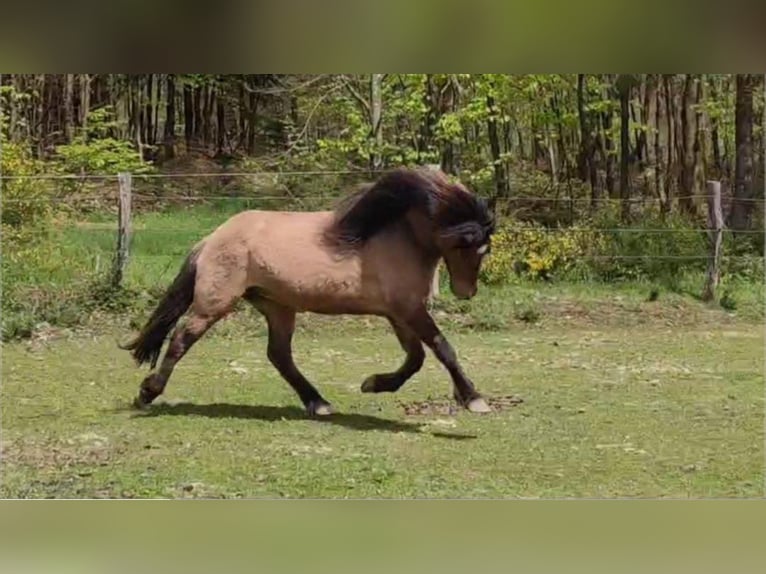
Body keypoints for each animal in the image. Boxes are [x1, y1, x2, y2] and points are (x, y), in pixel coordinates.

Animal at [121, 169, 498, 416]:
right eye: (476, 247)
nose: (466, 292)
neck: (397, 236)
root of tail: (211, 239)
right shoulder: (408, 309)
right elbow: (441, 348)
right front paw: (474, 398)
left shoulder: (399, 312)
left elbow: (416, 357)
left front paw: (374, 384)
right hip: (214, 304)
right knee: (181, 339)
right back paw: (147, 393)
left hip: (277, 306)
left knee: (279, 355)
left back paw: (318, 403)